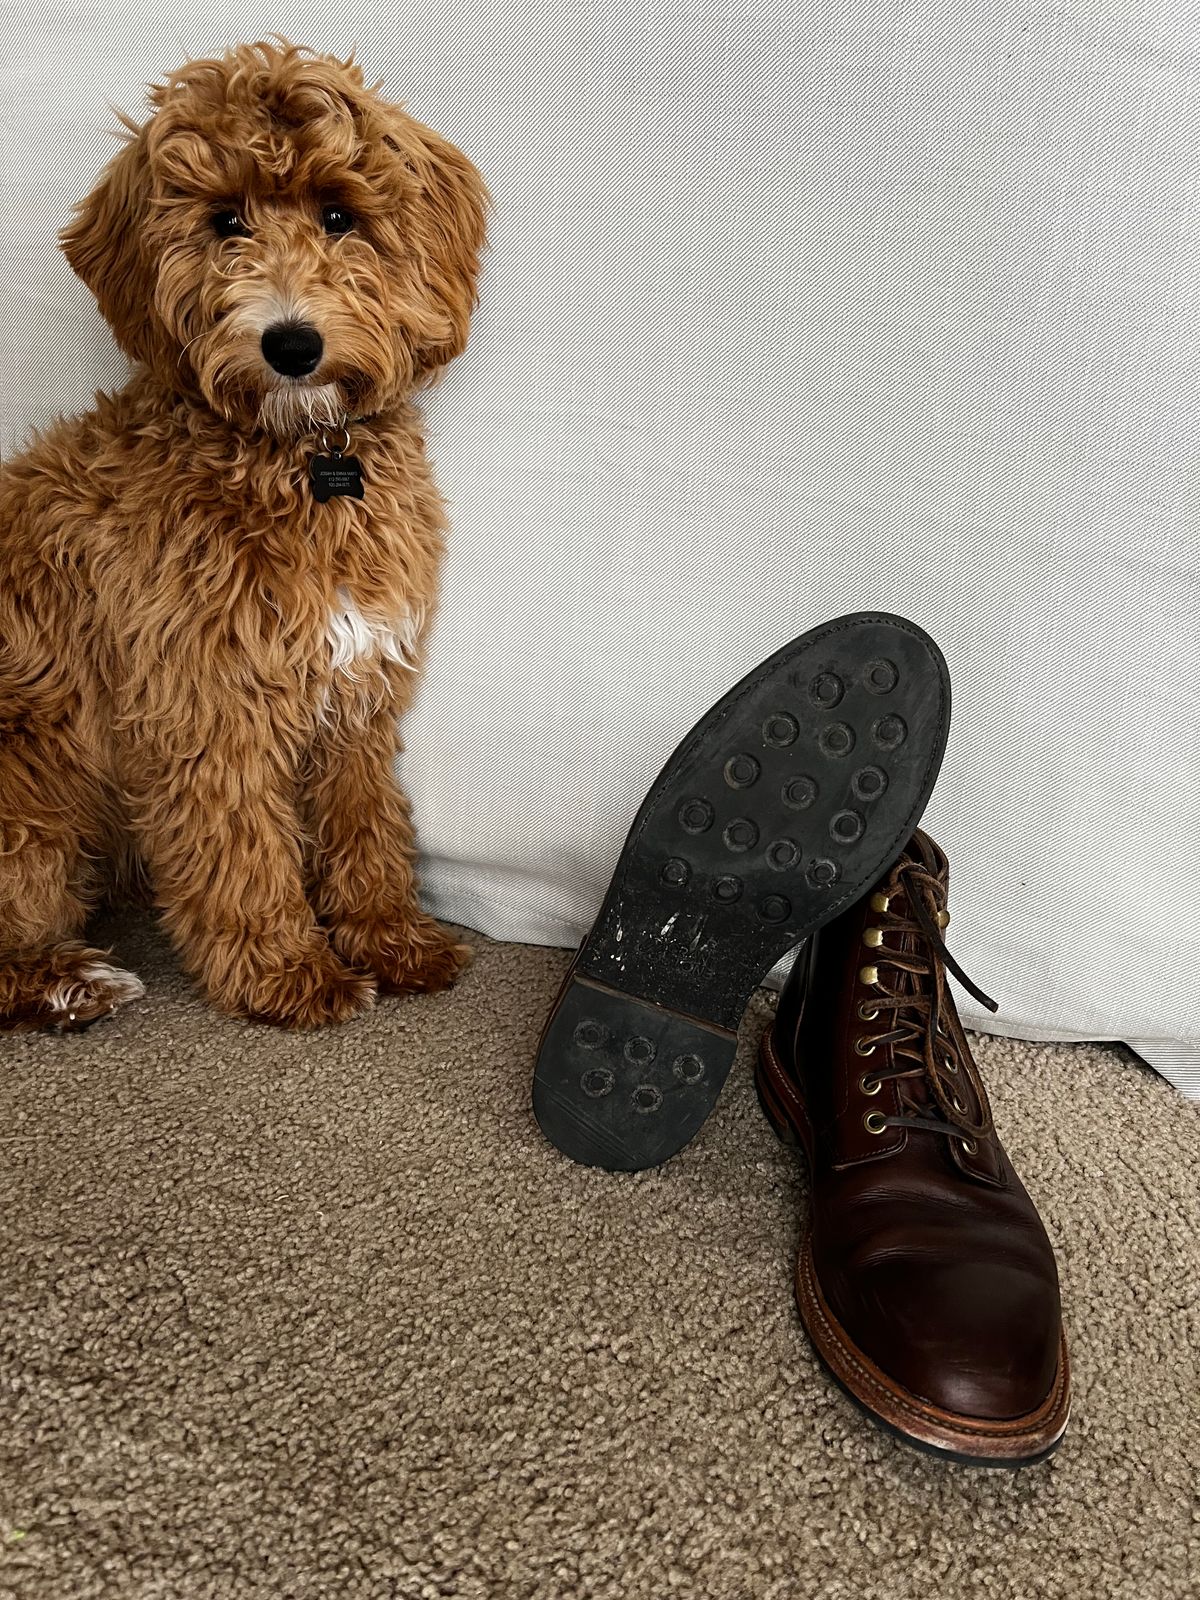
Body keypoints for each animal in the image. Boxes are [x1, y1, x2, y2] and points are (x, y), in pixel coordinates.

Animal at [1, 46, 489, 1036]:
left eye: (339, 214)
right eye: (224, 220)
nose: (291, 343)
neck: (300, 461)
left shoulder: (359, 687)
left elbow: (366, 820)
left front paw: (391, 937)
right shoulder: (205, 701)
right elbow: (241, 849)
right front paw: (286, 972)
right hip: (25, 794)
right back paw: (72, 981)